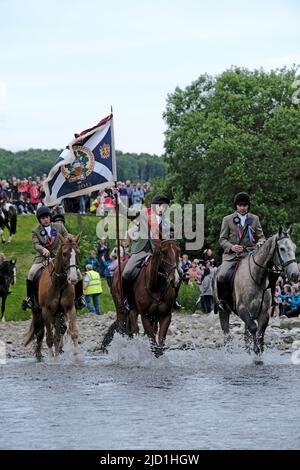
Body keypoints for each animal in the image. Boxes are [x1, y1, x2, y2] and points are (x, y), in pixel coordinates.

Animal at [213, 225, 298, 356]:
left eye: (294, 247)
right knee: (227, 333)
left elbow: (260, 332)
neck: (257, 276)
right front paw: (256, 350)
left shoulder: (263, 312)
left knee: (245, 333)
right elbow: (254, 328)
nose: (295, 274)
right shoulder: (242, 309)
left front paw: (258, 351)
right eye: (282, 248)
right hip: (224, 310)